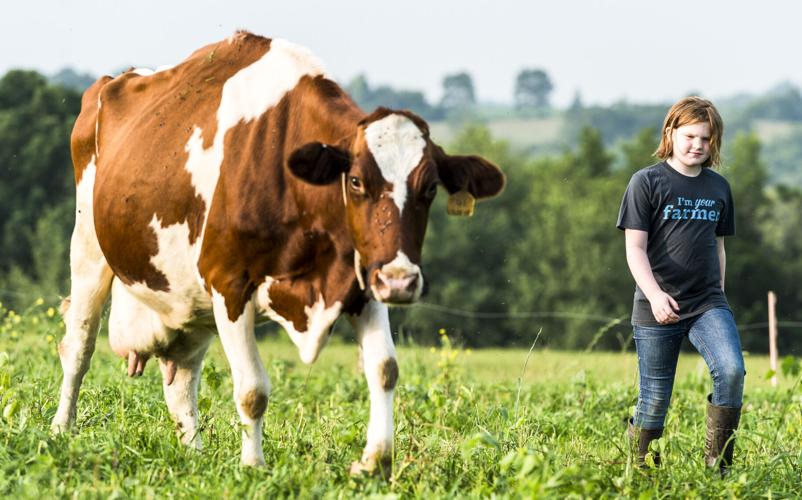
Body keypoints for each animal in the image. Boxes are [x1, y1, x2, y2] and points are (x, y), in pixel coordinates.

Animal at [51, 31, 504, 474]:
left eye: (430, 189)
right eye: (356, 181)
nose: (400, 281)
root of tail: (120, 77)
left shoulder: (362, 280)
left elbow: (384, 369)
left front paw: (375, 462)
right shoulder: (229, 285)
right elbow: (252, 389)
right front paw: (253, 466)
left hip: (189, 299)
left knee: (181, 379)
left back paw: (193, 455)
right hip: (88, 248)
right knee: (78, 347)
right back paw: (61, 430)